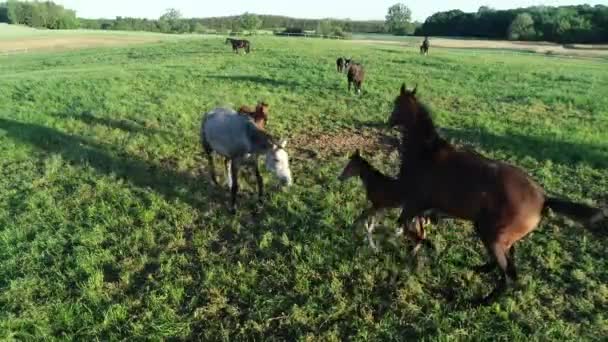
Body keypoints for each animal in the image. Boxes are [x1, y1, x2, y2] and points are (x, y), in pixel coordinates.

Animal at [388, 83, 604, 304]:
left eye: (396, 104)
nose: (388, 122)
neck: (426, 152)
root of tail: (544, 198)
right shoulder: (420, 207)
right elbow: (412, 227)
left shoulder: (414, 202)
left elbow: (406, 226)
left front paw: (426, 245)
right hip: (497, 235)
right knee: (508, 261)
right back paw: (481, 270)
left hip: (492, 235)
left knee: (509, 275)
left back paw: (481, 301)